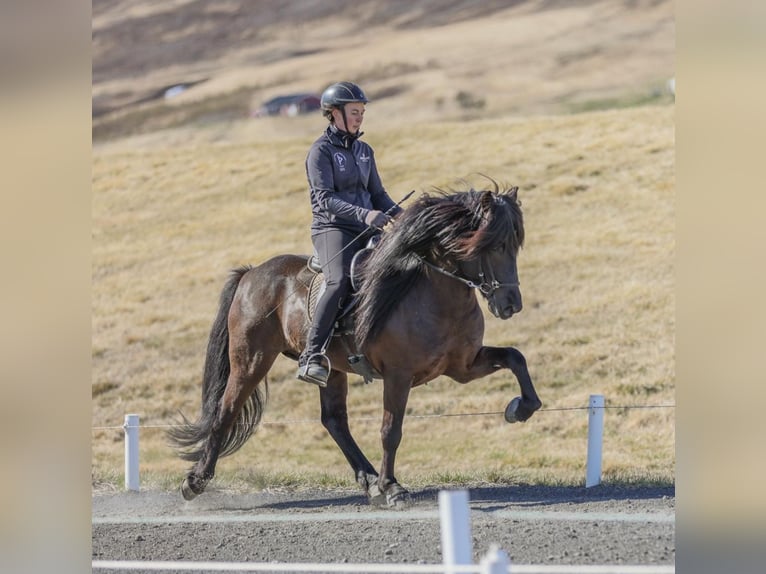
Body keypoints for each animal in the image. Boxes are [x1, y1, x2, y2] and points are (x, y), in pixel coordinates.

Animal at [168, 182, 542, 507]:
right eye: (494, 245)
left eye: (515, 245)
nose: (511, 304)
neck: (434, 294)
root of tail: (250, 273)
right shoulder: (399, 375)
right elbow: (391, 430)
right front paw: (393, 487)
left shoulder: (463, 367)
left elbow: (515, 357)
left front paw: (520, 408)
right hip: (251, 361)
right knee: (226, 411)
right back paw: (195, 481)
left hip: (330, 370)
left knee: (334, 421)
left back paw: (368, 480)